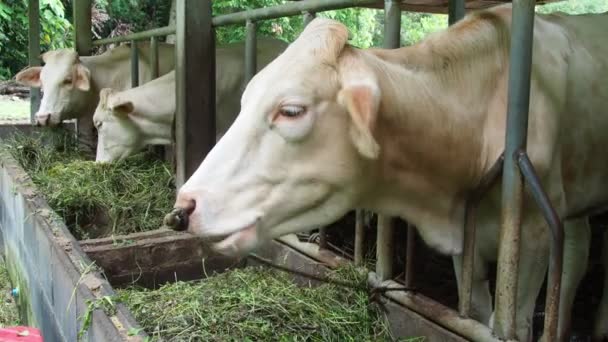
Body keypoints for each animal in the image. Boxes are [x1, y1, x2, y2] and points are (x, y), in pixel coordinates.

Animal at [171, 5, 608, 342]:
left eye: (291, 110)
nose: (184, 205)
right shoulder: (466, 248)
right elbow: (479, 311)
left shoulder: (531, 238)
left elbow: (513, 323)